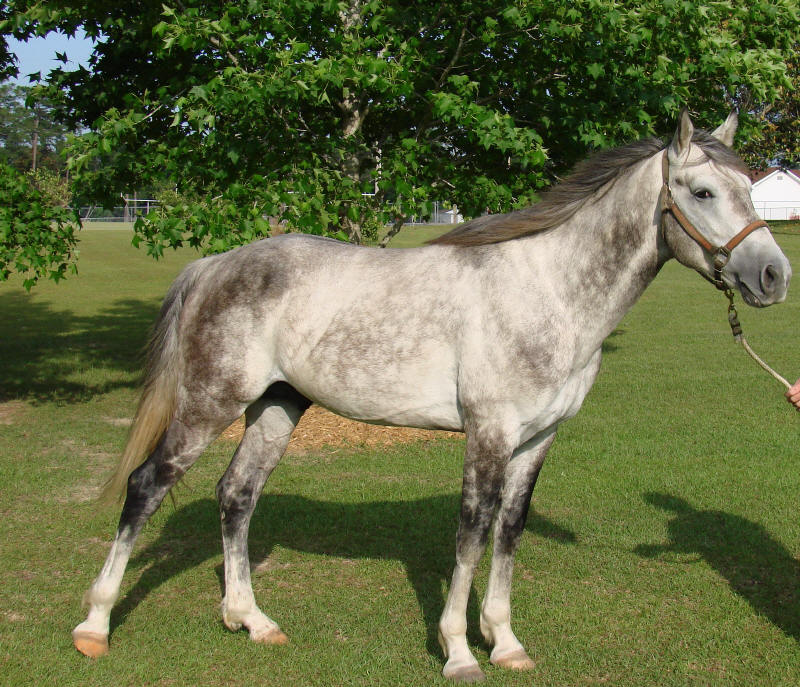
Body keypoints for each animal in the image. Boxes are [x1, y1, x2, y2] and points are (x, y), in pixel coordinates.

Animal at [72, 111, 791, 682]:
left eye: (749, 189)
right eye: (702, 191)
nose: (773, 275)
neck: (550, 291)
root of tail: (213, 265)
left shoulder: (537, 439)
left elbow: (508, 531)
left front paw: (505, 641)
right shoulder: (490, 432)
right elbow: (471, 531)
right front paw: (460, 650)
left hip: (276, 408)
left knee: (236, 496)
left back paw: (250, 618)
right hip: (208, 404)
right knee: (146, 487)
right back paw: (96, 625)